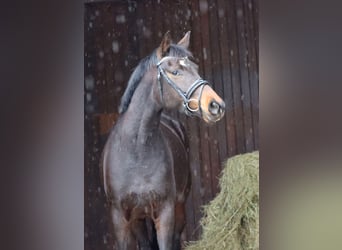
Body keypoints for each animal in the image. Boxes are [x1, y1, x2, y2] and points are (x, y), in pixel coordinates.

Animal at [100, 31, 226, 250]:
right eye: (175, 72)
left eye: (195, 68)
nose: (215, 105)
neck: (137, 150)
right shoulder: (121, 218)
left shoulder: (166, 212)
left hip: (178, 208)